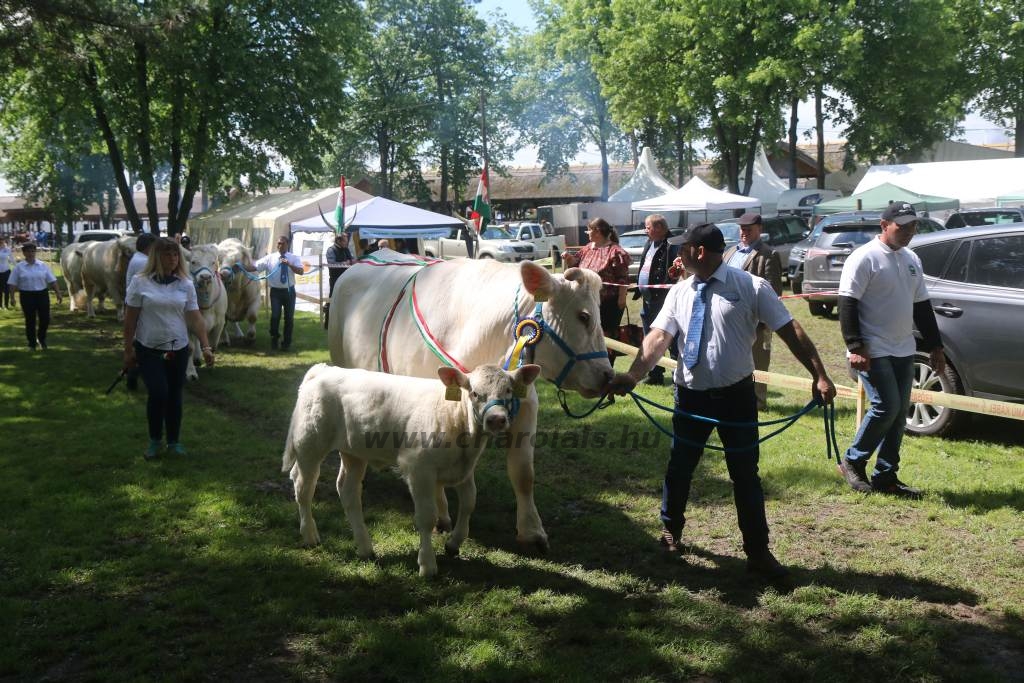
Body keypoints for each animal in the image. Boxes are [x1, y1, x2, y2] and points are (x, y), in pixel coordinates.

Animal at [189, 242, 229, 382]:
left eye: (213, 262)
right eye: (193, 261)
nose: (205, 277)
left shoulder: (220, 323)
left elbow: (213, 345)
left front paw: (211, 365)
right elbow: (190, 347)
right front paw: (191, 373)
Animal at [280, 362, 544, 577]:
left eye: (508, 391)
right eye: (475, 393)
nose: (496, 419)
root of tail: (324, 370)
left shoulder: (464, 469)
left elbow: (469, 503)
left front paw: (453, 543)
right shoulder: (419, 469)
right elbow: (427, 517)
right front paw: (427, 565)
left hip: (353, 452)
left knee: (348, 491)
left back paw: (365, 548)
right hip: (309, 444)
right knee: (303, 488)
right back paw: (310, 536)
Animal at [331, 253, 610, 552]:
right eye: (584, 316)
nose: (609, 376)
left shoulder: (526, 406)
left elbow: (523, 473)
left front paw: (532, 532)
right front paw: (442, 517)